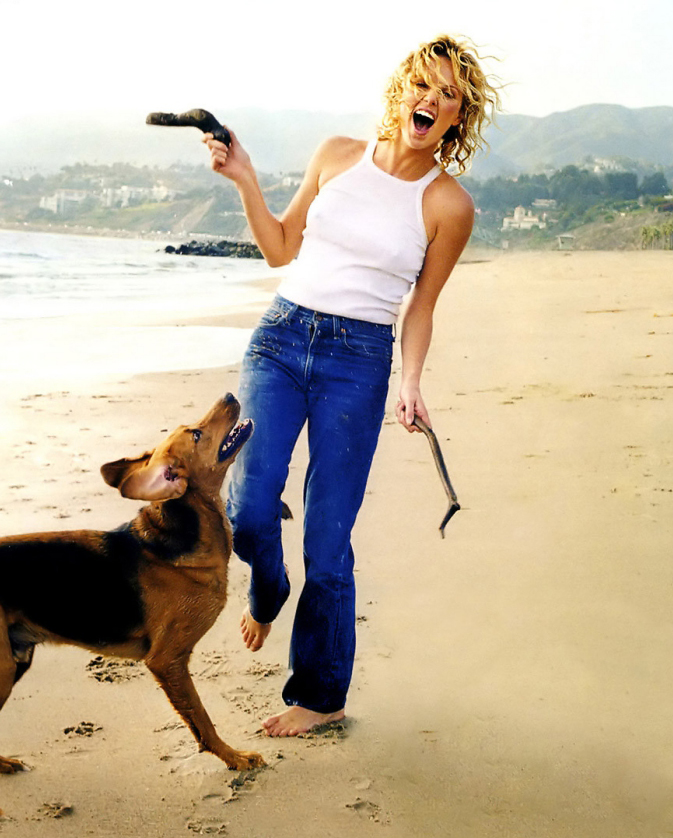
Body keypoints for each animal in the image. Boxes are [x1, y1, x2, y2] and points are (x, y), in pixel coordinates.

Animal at [0, 394, 266, 776]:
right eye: (197, 435)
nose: (229, 396)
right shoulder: (166, 660)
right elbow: (202, 719)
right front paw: (233, 758)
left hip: (15, 657)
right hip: (4, 667)